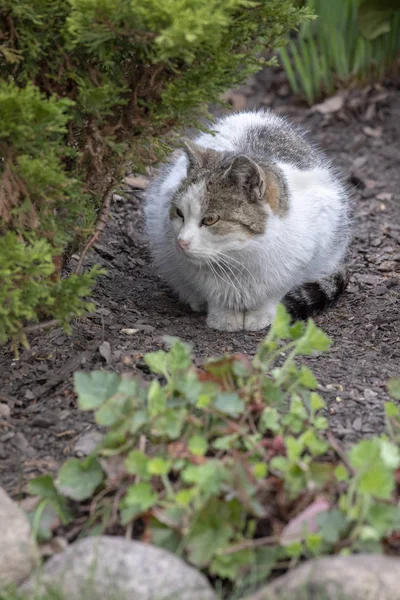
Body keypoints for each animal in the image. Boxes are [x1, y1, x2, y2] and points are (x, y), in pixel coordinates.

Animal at [144, 110, 350, 330]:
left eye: (210, 220)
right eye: (179, 213)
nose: (181, 242)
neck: (240, 257)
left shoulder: (305, 254)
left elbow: (273, 293)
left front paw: (262, 315)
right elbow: (213, 292)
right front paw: (223, 316)